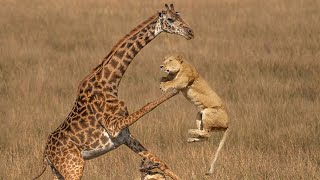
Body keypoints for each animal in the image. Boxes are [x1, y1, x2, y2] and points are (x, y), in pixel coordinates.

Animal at [33, 3, 192, 180]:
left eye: (180, 15)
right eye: (170, 19)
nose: (190, 32)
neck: (110, 82)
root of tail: (46, 155)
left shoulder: (126, 137)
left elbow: (163, 164)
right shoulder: (114, 127)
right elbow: (147, 105)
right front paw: (175, 88)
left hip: (59, 171)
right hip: (73, 167)